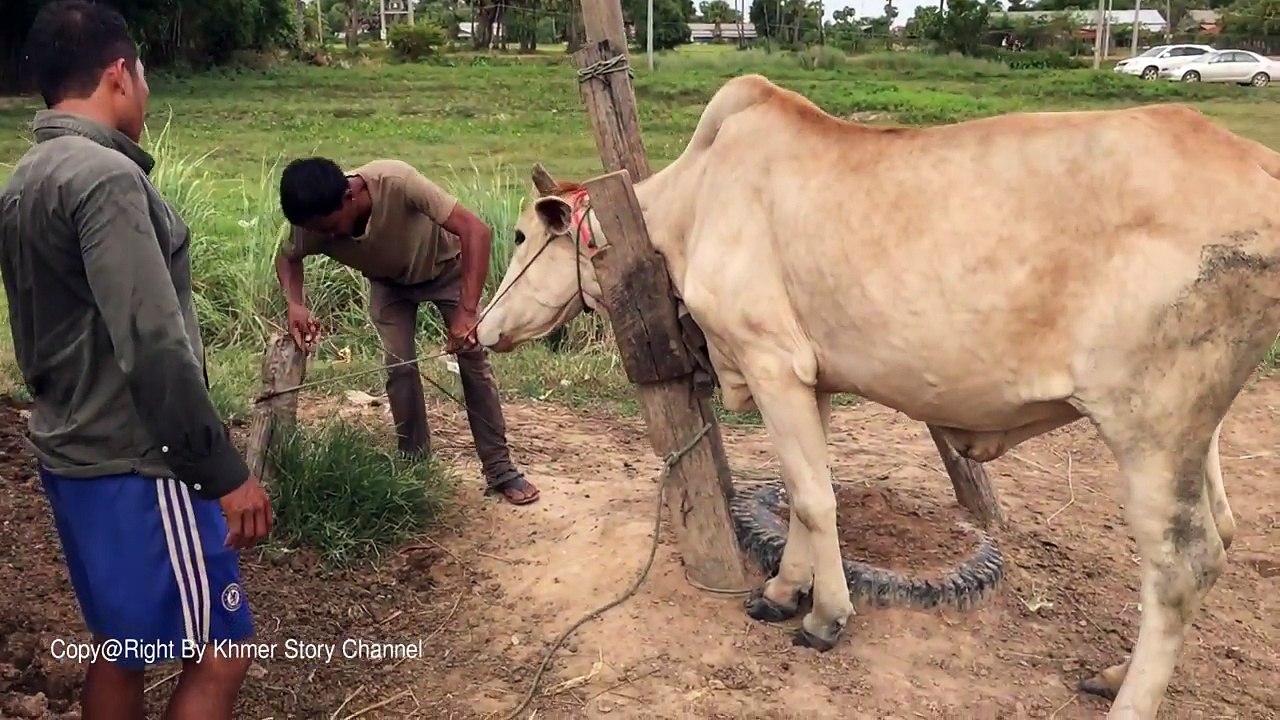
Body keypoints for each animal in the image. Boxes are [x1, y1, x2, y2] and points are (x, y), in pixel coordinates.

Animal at [473, 73, 1280, 719]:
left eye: (520, 236)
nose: (480, 329)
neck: (694, 202)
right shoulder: (811, 377)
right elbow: (806, 490)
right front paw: (783, 592)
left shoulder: (770, 359)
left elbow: (813, 497)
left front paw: (825, 617)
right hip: (1197, 428)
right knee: (1223, 532)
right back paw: (1113, 672)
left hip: (1150, 424)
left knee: (1181, 564)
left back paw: (1128, 699)